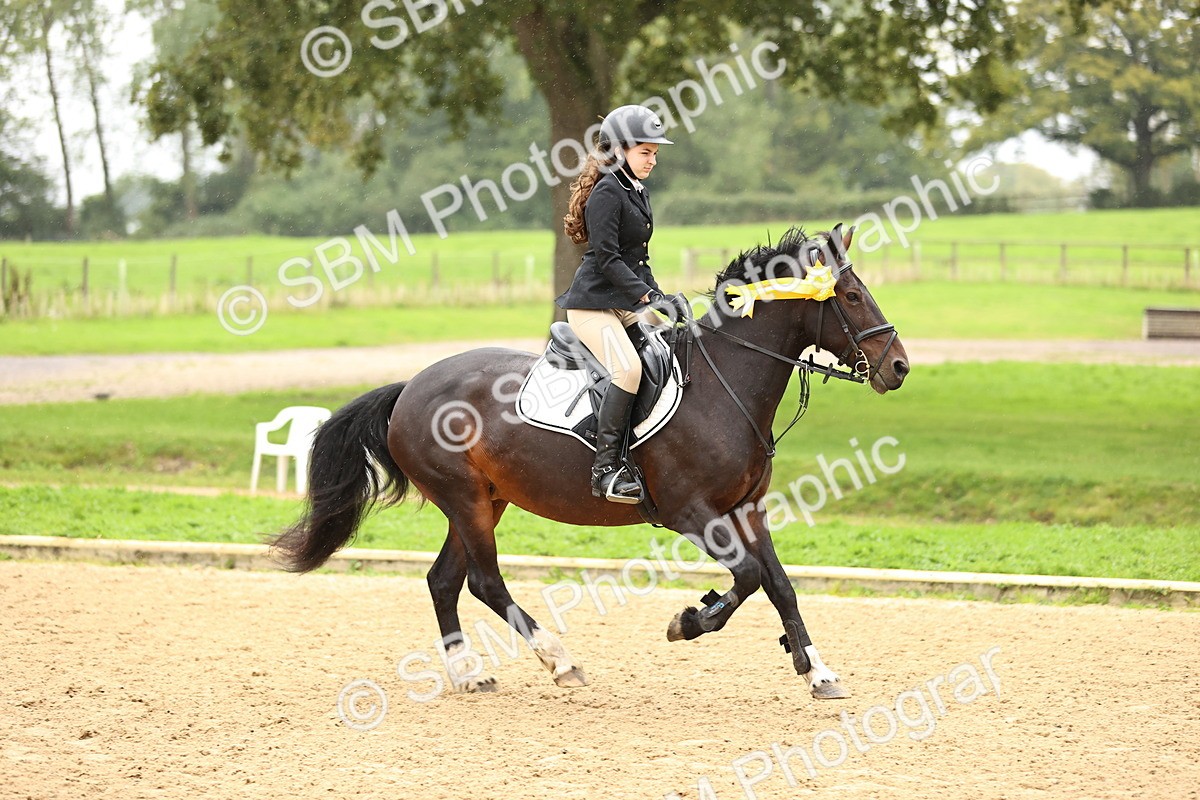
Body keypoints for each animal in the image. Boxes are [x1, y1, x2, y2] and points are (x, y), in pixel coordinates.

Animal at [271, 223, 909, 700]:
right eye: (852, 298)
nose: (899, 367)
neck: (725, 383)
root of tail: (409, 388)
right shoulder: (691, 512)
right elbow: (748, 577)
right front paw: (688, 621)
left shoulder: (747, 508)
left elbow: (779, 585)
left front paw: (818, 671)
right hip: (465, 499)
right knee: (483, 580)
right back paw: (559, 661)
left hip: (483, 500)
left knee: (444, 581)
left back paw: (469, 673)